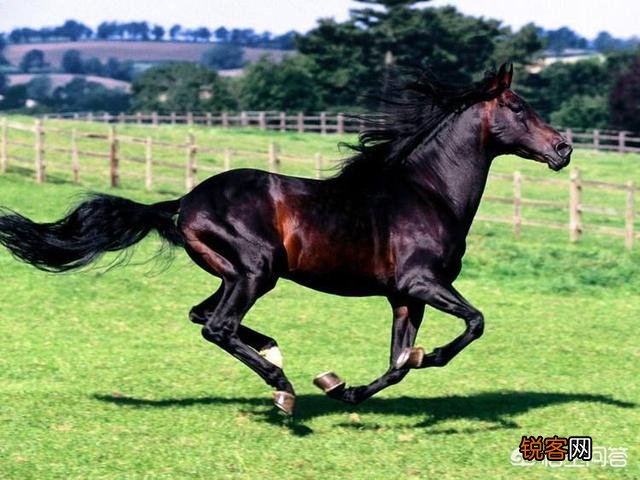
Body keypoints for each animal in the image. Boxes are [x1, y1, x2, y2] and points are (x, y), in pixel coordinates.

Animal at [0, 63, 571, 415]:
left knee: (203, 316)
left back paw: (276, 358)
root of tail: (184, 202)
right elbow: (473, 324)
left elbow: (395, 364)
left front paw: (344, 388)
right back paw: (282, 389)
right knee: (218, 326)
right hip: (257, 271)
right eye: (518, 108)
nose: (563, 149)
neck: (428, 192)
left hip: (235, 274)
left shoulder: (404, 296)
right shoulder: (421, 282)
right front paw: (422, 359)